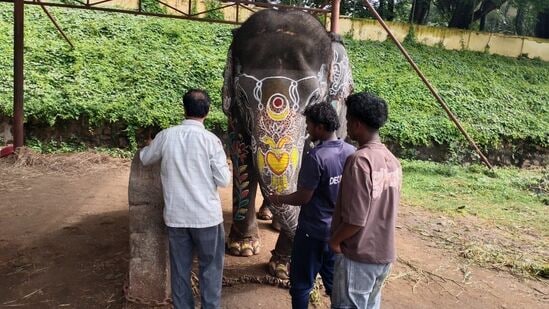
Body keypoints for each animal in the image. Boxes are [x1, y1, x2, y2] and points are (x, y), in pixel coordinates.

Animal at [222, 8, 354, 278]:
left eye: (315, 99)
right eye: (242, 96)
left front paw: (283, 270)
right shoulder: (235, 117)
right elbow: (242, 156)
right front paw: (242, 248)